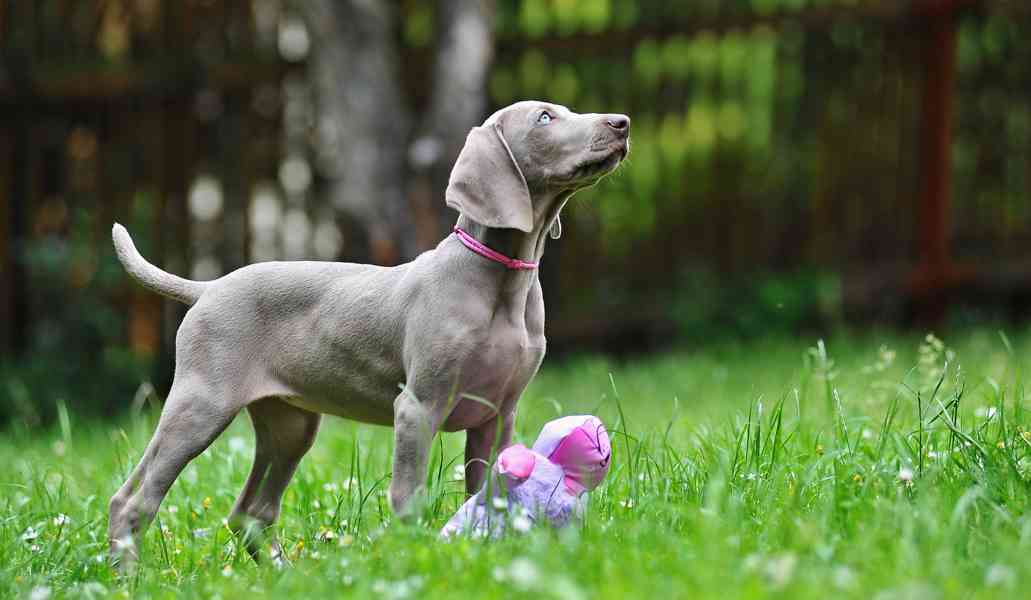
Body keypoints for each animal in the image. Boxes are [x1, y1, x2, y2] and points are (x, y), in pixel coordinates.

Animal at [106, 99, 626, 569]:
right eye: (545, 117)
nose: (621, 122)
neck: (503, 283)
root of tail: (208, 287)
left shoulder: (496, 415)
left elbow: (489, 493)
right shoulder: (417, 408)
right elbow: (409, 495)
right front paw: (418, 557)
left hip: (290, 424)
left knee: (250, 512)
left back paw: (284, 575)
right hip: (201, 405)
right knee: (135, 500)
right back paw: (130, 579)